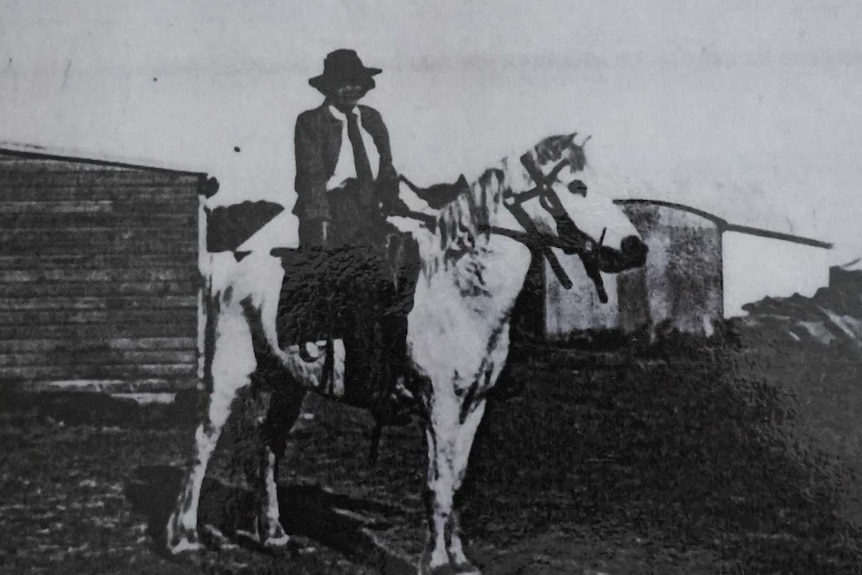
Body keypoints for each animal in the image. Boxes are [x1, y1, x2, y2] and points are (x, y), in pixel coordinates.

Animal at [165, 134, 648, 575]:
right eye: (578, 186)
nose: (635, 247)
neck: (460, 291)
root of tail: (233, 262)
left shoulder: (474, 404)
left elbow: (456, 481)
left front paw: (459, 558)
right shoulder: (439, 403)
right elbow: (437, 482)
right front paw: (434, 562)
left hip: (286, 383)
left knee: (268, 446)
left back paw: (275, 536)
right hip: (228, 371)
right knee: (203, 441)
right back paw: (183, 537)